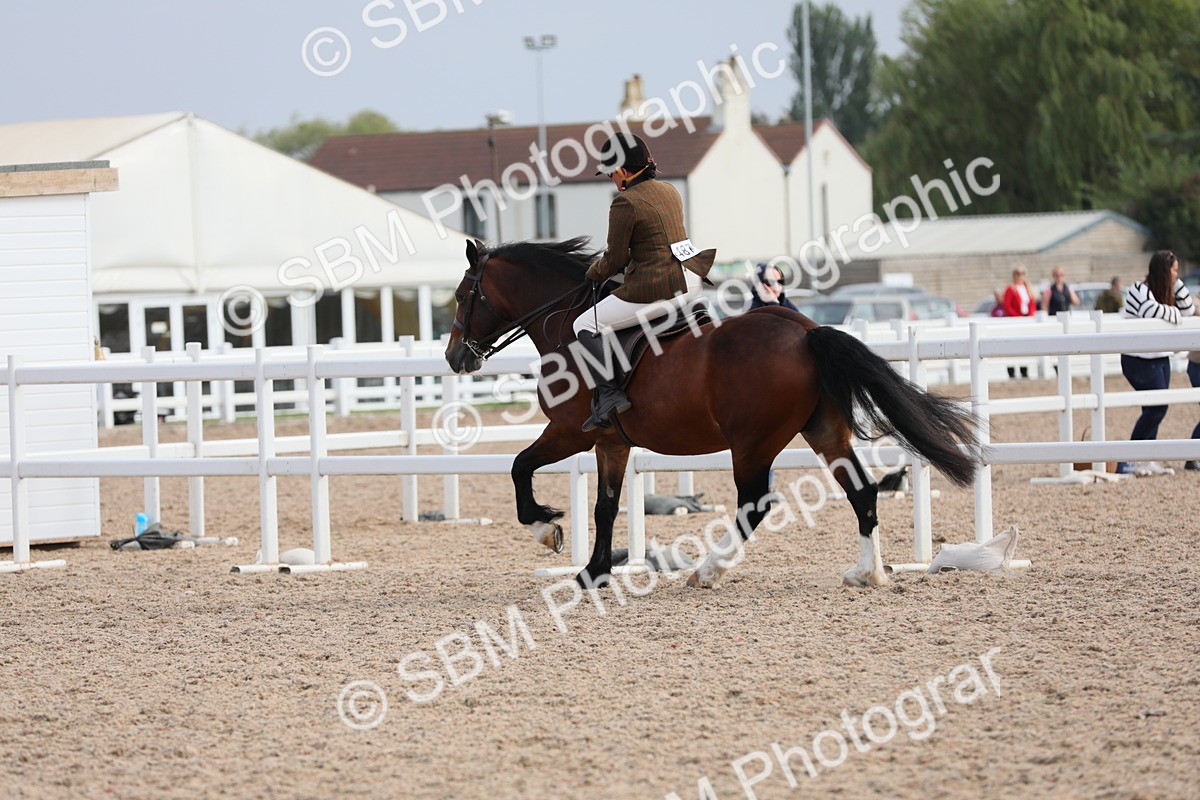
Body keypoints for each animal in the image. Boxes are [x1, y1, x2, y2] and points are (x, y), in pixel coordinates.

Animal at [444, 237, 981, 589]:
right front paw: (593, 572)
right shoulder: (611, 441)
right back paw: (867, 573)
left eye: (462, 295)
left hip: (753, 443)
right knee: (861, 491)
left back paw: (707, 571)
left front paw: (546, 528)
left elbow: (520, 468)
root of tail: (805, 331)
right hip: (824, 431)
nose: (455, 357)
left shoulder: (569, 432)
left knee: (755, 503)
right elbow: (605, 506)